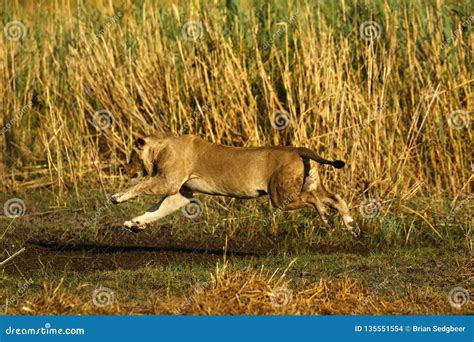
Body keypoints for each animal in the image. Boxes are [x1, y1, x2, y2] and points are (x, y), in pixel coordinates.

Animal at [111, 132, 360, 236]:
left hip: (281, 196)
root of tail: (299, 149)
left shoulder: (168, 182)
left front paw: (117, 197)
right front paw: (134, 223)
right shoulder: (181, 194)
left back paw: (328, 220)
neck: (162, 144)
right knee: (335, 198)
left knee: (314, 200)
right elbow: (155, 211)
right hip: (310, 184)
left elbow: (141, 187)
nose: (127, 169)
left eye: (132, 156)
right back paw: (351, 226)